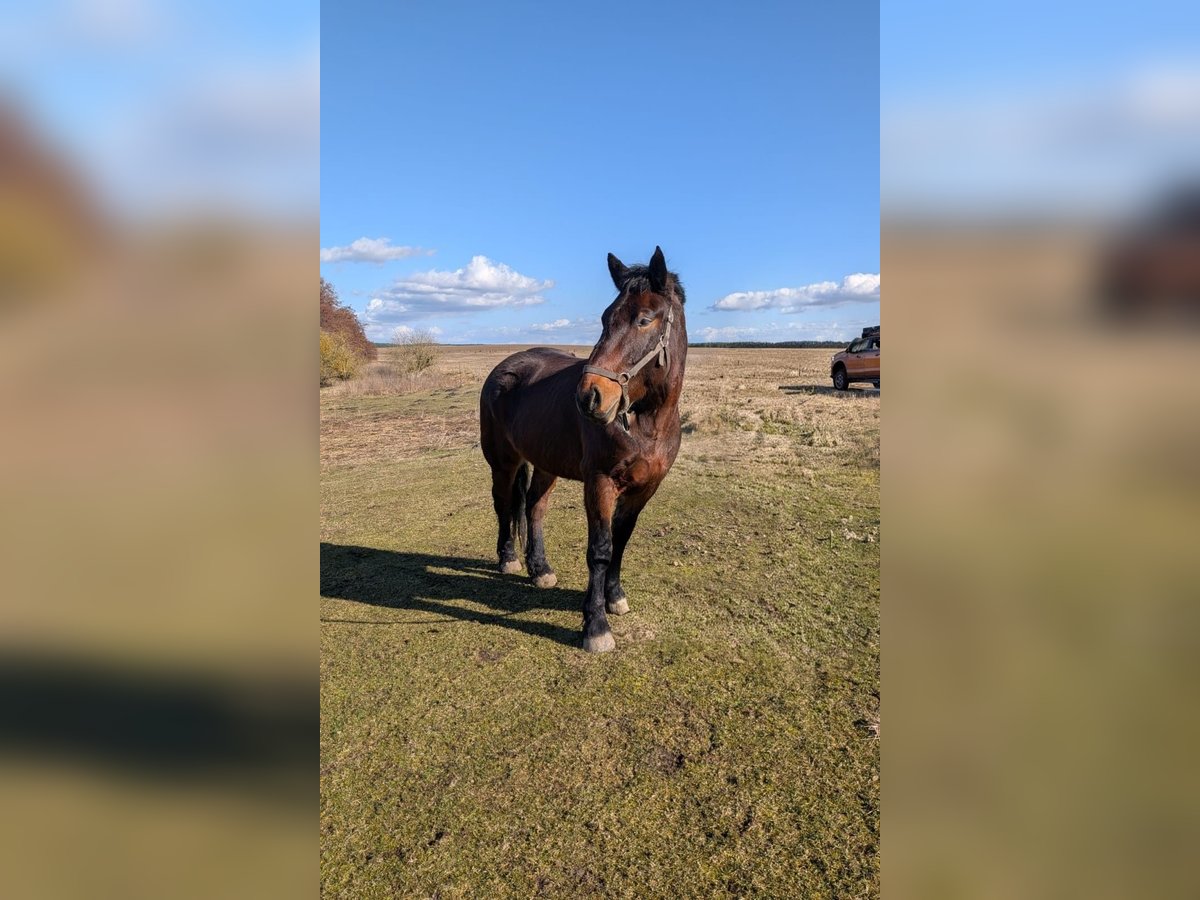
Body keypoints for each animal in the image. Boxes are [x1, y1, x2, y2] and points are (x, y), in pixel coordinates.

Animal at [479, 247, 687, 652]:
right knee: (505, 505)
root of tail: (505, 367)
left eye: (644, 320)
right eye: (606, 318)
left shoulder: (644, 489)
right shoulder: (600, 483)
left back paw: (540, 569)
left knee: (535, 507)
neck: (648, 425)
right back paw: (509, 559)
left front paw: (614, 597)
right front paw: (595, 625)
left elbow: (620, 542)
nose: (589, 396)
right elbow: (600, 549)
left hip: (546, 463)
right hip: (503, 462)